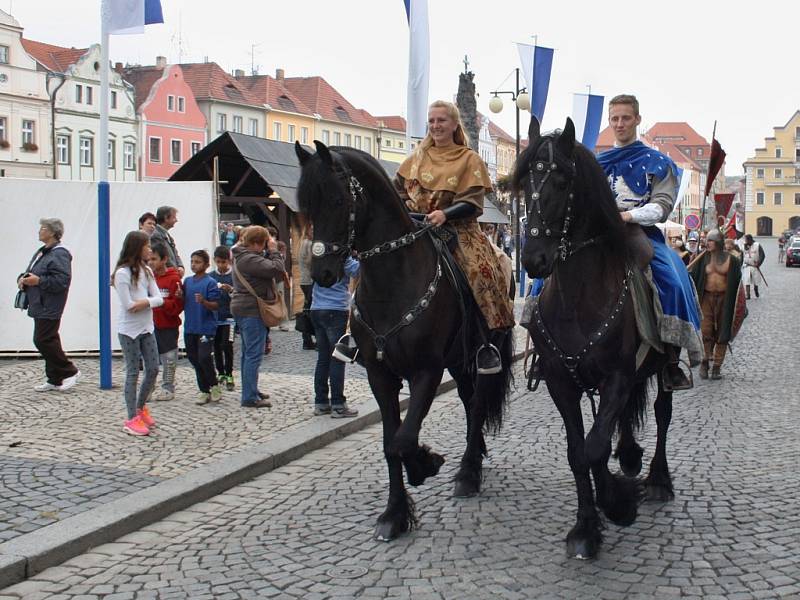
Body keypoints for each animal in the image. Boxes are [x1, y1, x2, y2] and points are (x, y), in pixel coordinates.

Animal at [294, 143, 512, 540]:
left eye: (337, 200)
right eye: (305, 205)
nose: (323, 274)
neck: (393, 280)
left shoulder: (426, 371)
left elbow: (404, 439)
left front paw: (425, 464)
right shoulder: (381, 375)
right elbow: (389, 443)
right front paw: (394, 514)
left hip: (479, 357)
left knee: (476, 405)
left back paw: (468, 472)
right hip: (459, 361)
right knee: (468, 400)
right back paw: (473, 456)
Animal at [512, 119, 676, 560]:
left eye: (563, 180)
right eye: (525, 182)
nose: (533, 259)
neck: (578, 298)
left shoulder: (617, 376)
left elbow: (595, 446)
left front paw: (618, 503)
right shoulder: (561, 382)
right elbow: (578, 452)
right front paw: (586, 526)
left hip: (665, 369)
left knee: (662, 414)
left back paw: (658, 479)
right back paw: (631, 457)